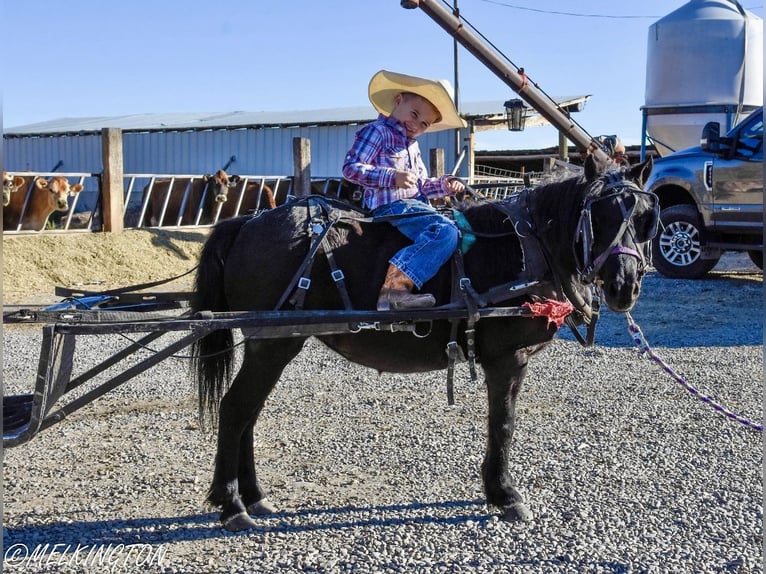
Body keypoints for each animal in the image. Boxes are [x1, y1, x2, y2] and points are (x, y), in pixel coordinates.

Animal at [195, 155, 656, 532]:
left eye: (645, 218)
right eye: (599, 215)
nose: (625, 286)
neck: (529, 245)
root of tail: (247, 223)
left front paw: (496, 489)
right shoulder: (508, 358)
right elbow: (503, 424)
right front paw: (505, 493)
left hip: (273, 345)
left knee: (248, 414)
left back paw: (253, 496)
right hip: (271, 345)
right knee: (235, 410)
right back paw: (233, 505)